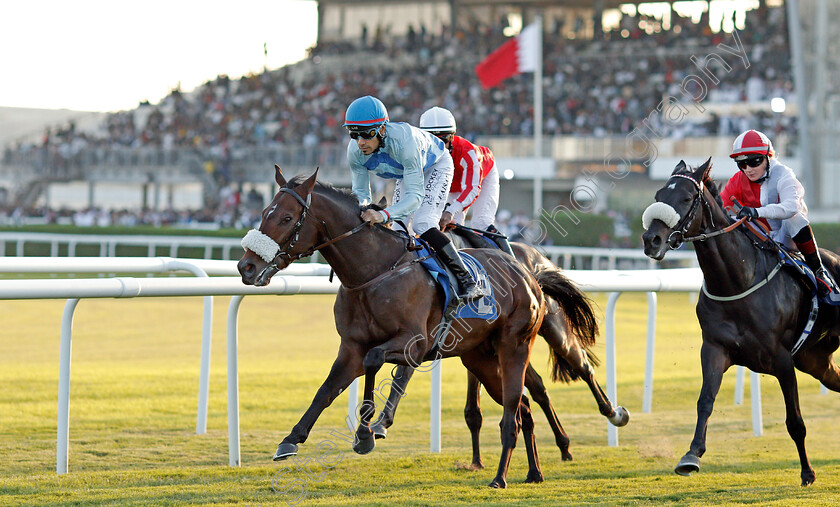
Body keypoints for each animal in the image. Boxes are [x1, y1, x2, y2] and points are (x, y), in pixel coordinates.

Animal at [235, 168, 576, 488]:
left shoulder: (414, 342)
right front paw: (290, 440)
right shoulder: (351, 347)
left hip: (514, 345)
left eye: (287, 217)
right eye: (264, 212)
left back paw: (506, 475)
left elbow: (375, 361)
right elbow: (326, 390)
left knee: (516, 410)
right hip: (480, 358)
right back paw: (534, 472)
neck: (374, 271)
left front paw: (365, 434)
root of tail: (527, 271)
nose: (246, 266)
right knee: (523, 407)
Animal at [370, 228, 628, 470]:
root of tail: (539, 259)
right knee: (539, 388)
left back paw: (614, 413)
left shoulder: (429, 335)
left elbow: (403, 374)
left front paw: (380, 423)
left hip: (554, 329)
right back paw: (563, 445)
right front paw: (476, 461)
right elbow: (472, 409)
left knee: (582, 366)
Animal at [644, 161, 840, 486]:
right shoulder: (714, 349)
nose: (651, 240)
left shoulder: (782, 360)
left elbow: (795, 422)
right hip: (815, 361)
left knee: (796, 215)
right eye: (659, 194)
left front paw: (808, 472)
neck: (737, 281)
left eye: (686, 198)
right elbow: (705, 401)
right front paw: (691, 455)